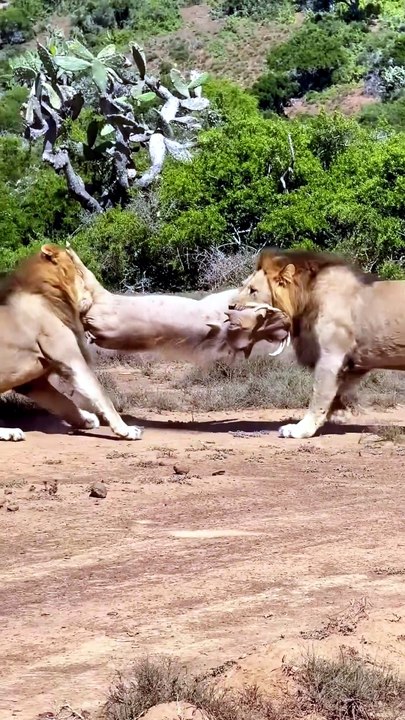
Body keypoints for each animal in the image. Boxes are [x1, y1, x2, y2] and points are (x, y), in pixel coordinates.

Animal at [0, 244, 142, 441]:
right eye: (81, 272)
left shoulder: (33, 382)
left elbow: (62, 401)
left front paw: (86, 420)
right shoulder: (72, 359)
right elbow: (101, 394)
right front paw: (125, 429)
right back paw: (11, 431)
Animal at [231, 247, 405, 438]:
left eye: (253, 290)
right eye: (243, 285)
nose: (230, 306)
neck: (307, 297)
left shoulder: (331, 356)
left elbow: (319, 395)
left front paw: (301, 429)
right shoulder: (354, 362)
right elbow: (338, 392)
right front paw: (338, 415)